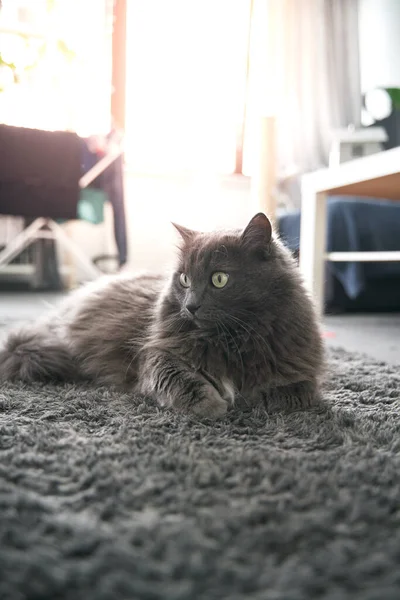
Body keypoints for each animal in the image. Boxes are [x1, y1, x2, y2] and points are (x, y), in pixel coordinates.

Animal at [0, 214, 324, 418]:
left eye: (219, 279)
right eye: (184, 279)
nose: (191, 306)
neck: (231, 340)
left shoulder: (300, 373)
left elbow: (294, 393)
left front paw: (251, 399)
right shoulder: (158, 355)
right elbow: (182, 381)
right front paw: (213, 405)